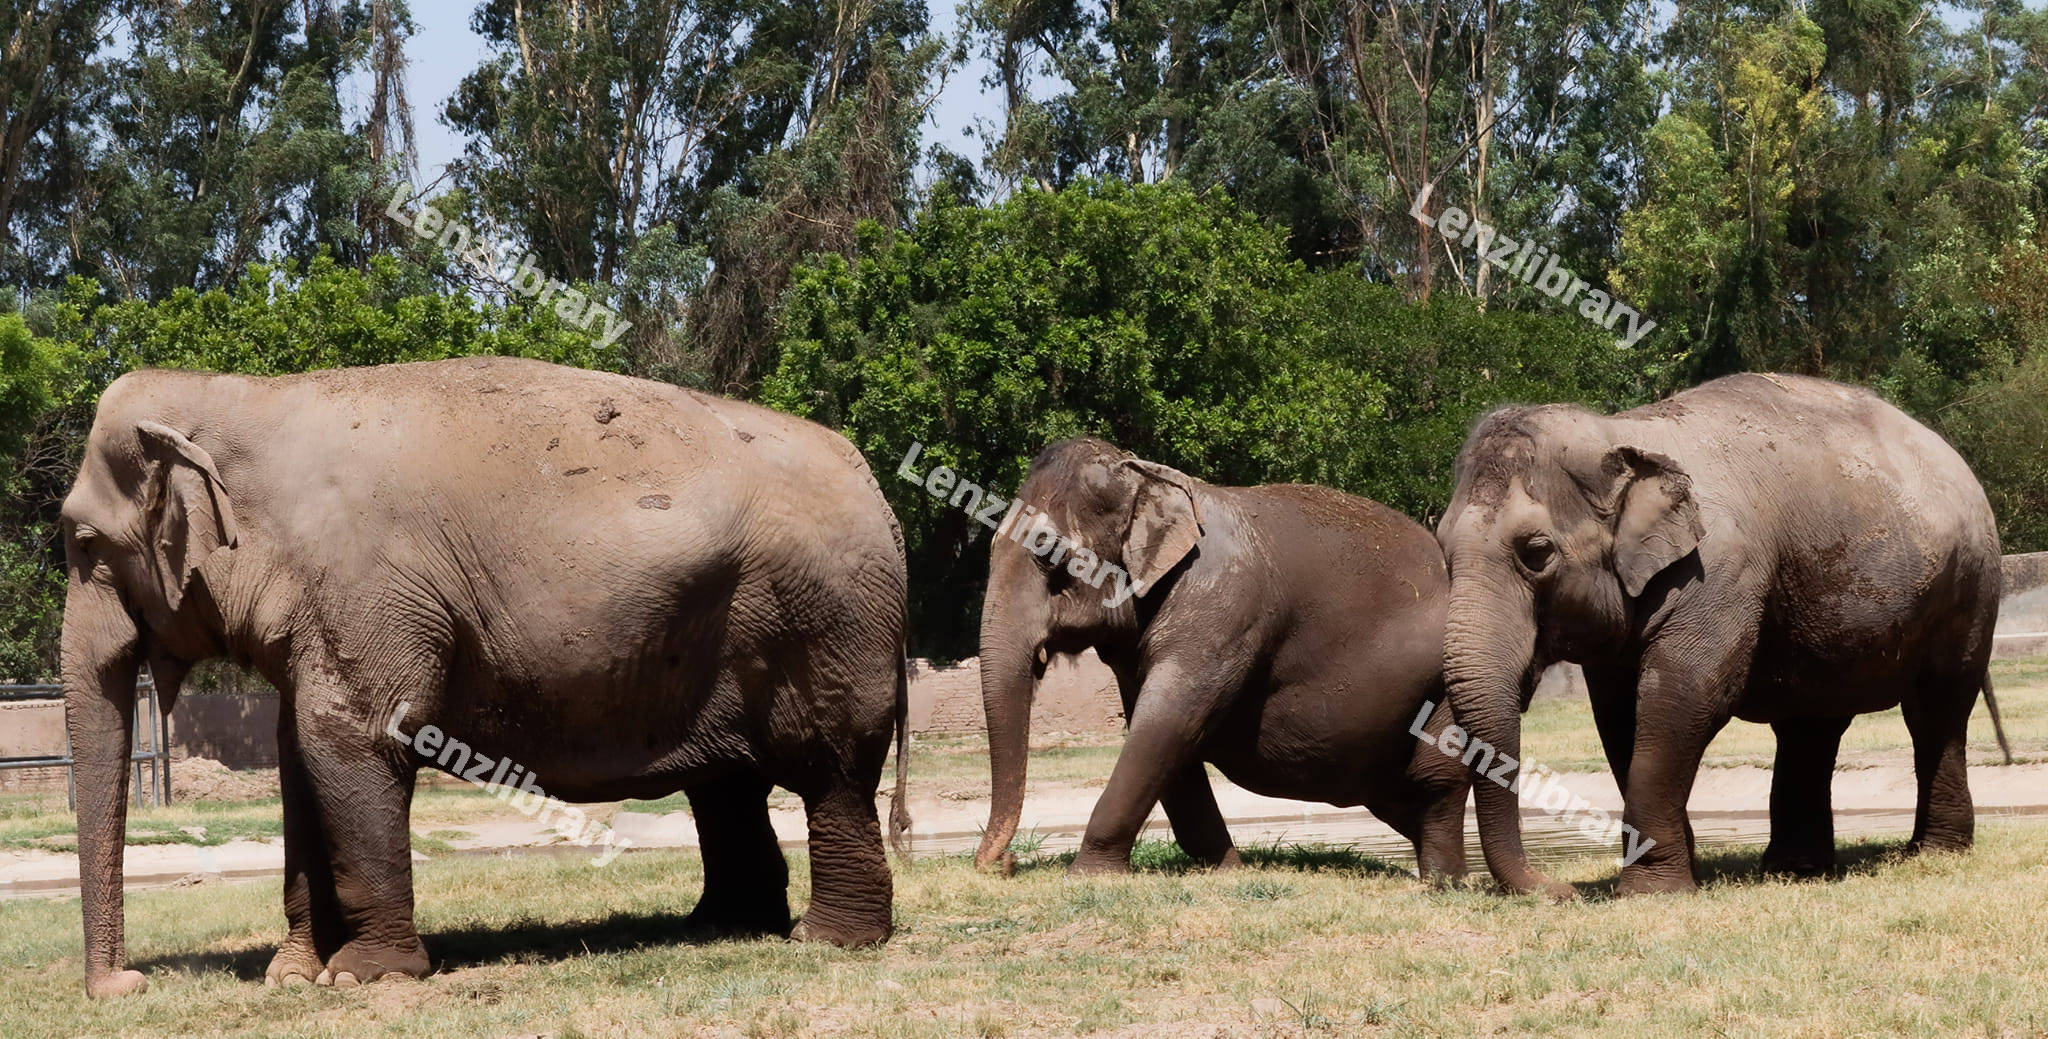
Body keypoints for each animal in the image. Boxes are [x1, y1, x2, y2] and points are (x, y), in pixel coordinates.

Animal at [59, 356, 910, 998]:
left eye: (83, 543)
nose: (128, 984)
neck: (242, 393)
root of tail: (879, 492)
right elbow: (300, 754)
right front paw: (293, 975)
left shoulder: (368, 594)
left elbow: (351, 741)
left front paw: (363, 978)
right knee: (728, 787)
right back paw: (722, 926)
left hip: (826, 622)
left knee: (829, 772)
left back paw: (825, 940)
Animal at [972, 438, 1470, 878]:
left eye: (1049, 557)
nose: (1004, 862)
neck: (1146, 476)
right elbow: (1160, 733)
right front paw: (1227, 868)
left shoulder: (1221, 605)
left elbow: (1169, 722)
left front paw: (1087, 874)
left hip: (1444, 688)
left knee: (1438, 783)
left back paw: (1445, 880)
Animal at [1435, 372, 2009, 899]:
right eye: (1441, 548)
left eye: (1536, 553)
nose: (1562, 891)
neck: (1623, 432)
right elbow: (1619, 716)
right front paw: (1678, 869)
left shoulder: (1719, 573)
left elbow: (1681, 696)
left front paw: (1652, 892)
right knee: (1811, 725)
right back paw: (1795, 869)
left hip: (1970, 586)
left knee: (1937, 710)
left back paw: (1933, 853)